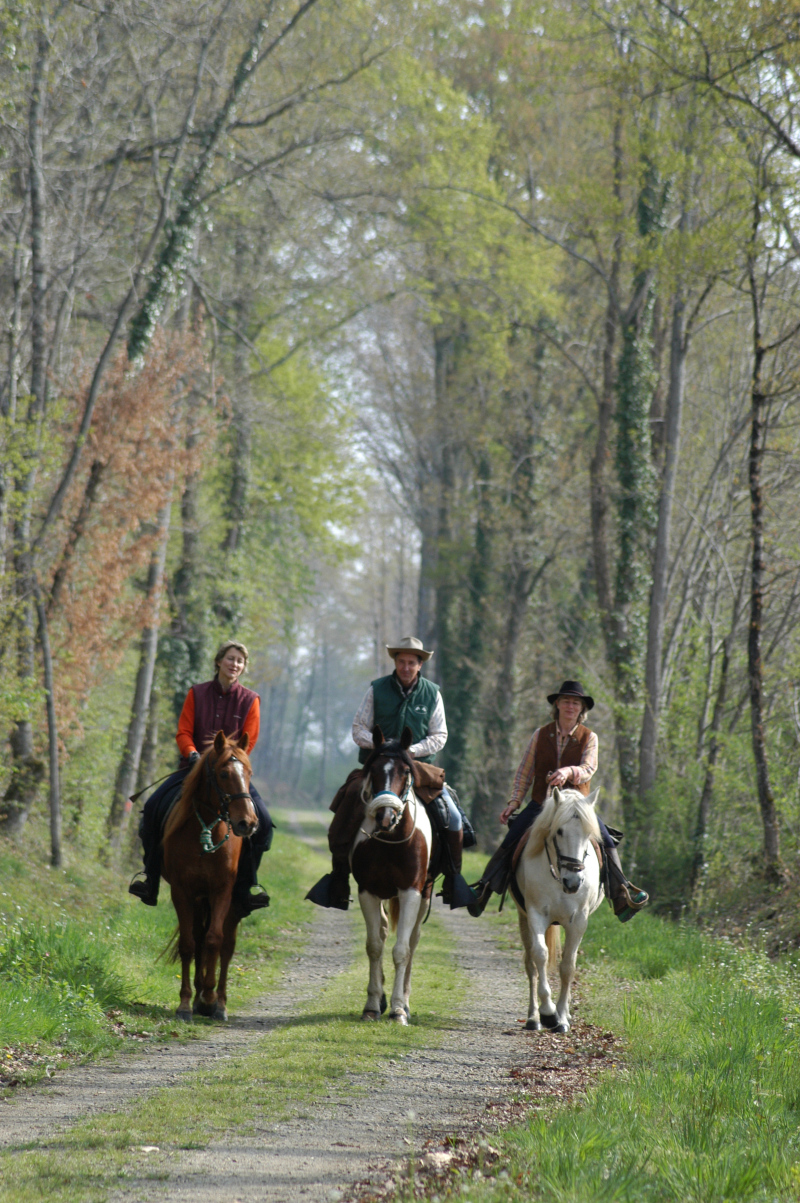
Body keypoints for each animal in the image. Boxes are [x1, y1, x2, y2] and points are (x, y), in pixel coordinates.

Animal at [157, 726, 253, 1020]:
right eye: (223, 774)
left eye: (249, 772)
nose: (247, 823)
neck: (208, 829)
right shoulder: (182, 891)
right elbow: (189, 944)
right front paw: (186, 1003)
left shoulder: (222, 890)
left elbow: (214, 940)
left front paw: (211, 999)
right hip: (199, 899)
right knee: (198, 937)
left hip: (231, 903)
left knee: (227, 945)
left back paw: (219, 1001)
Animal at [353, 721, 433, 1024]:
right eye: (373, 770)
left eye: (405, 772)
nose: (385, 816)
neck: (391, 840)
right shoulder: (368, 891)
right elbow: (375, 945)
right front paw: (373, 1004)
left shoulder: (411, 892)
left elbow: (402, 950)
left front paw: (399, 1009)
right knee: (385, 931)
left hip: (424, 895)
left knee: (412, 941)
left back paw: (405, 1003)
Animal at [514, 789, 601, 1034]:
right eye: (559, 831)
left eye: (588, 833)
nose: (574, 883)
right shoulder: (535, 915)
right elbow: (540, 956)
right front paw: (547, 1011)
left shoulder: (578, 921)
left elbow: (568, 966)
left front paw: (561, 1017)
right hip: (523, 919)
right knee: (530, 965)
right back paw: (533, 1017)